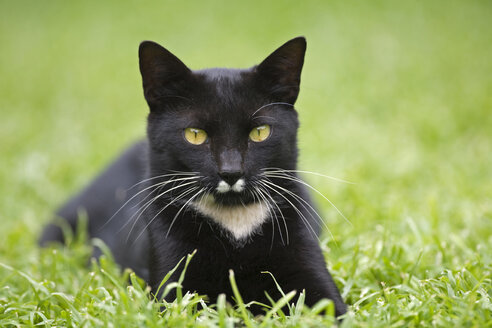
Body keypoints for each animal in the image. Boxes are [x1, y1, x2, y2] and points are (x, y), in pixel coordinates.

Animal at [40, 37, 348, 316]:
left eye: (260, 132)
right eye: (195, 135)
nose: (231, 171)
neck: (235, 223)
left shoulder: (309, 270)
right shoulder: (174, 284)